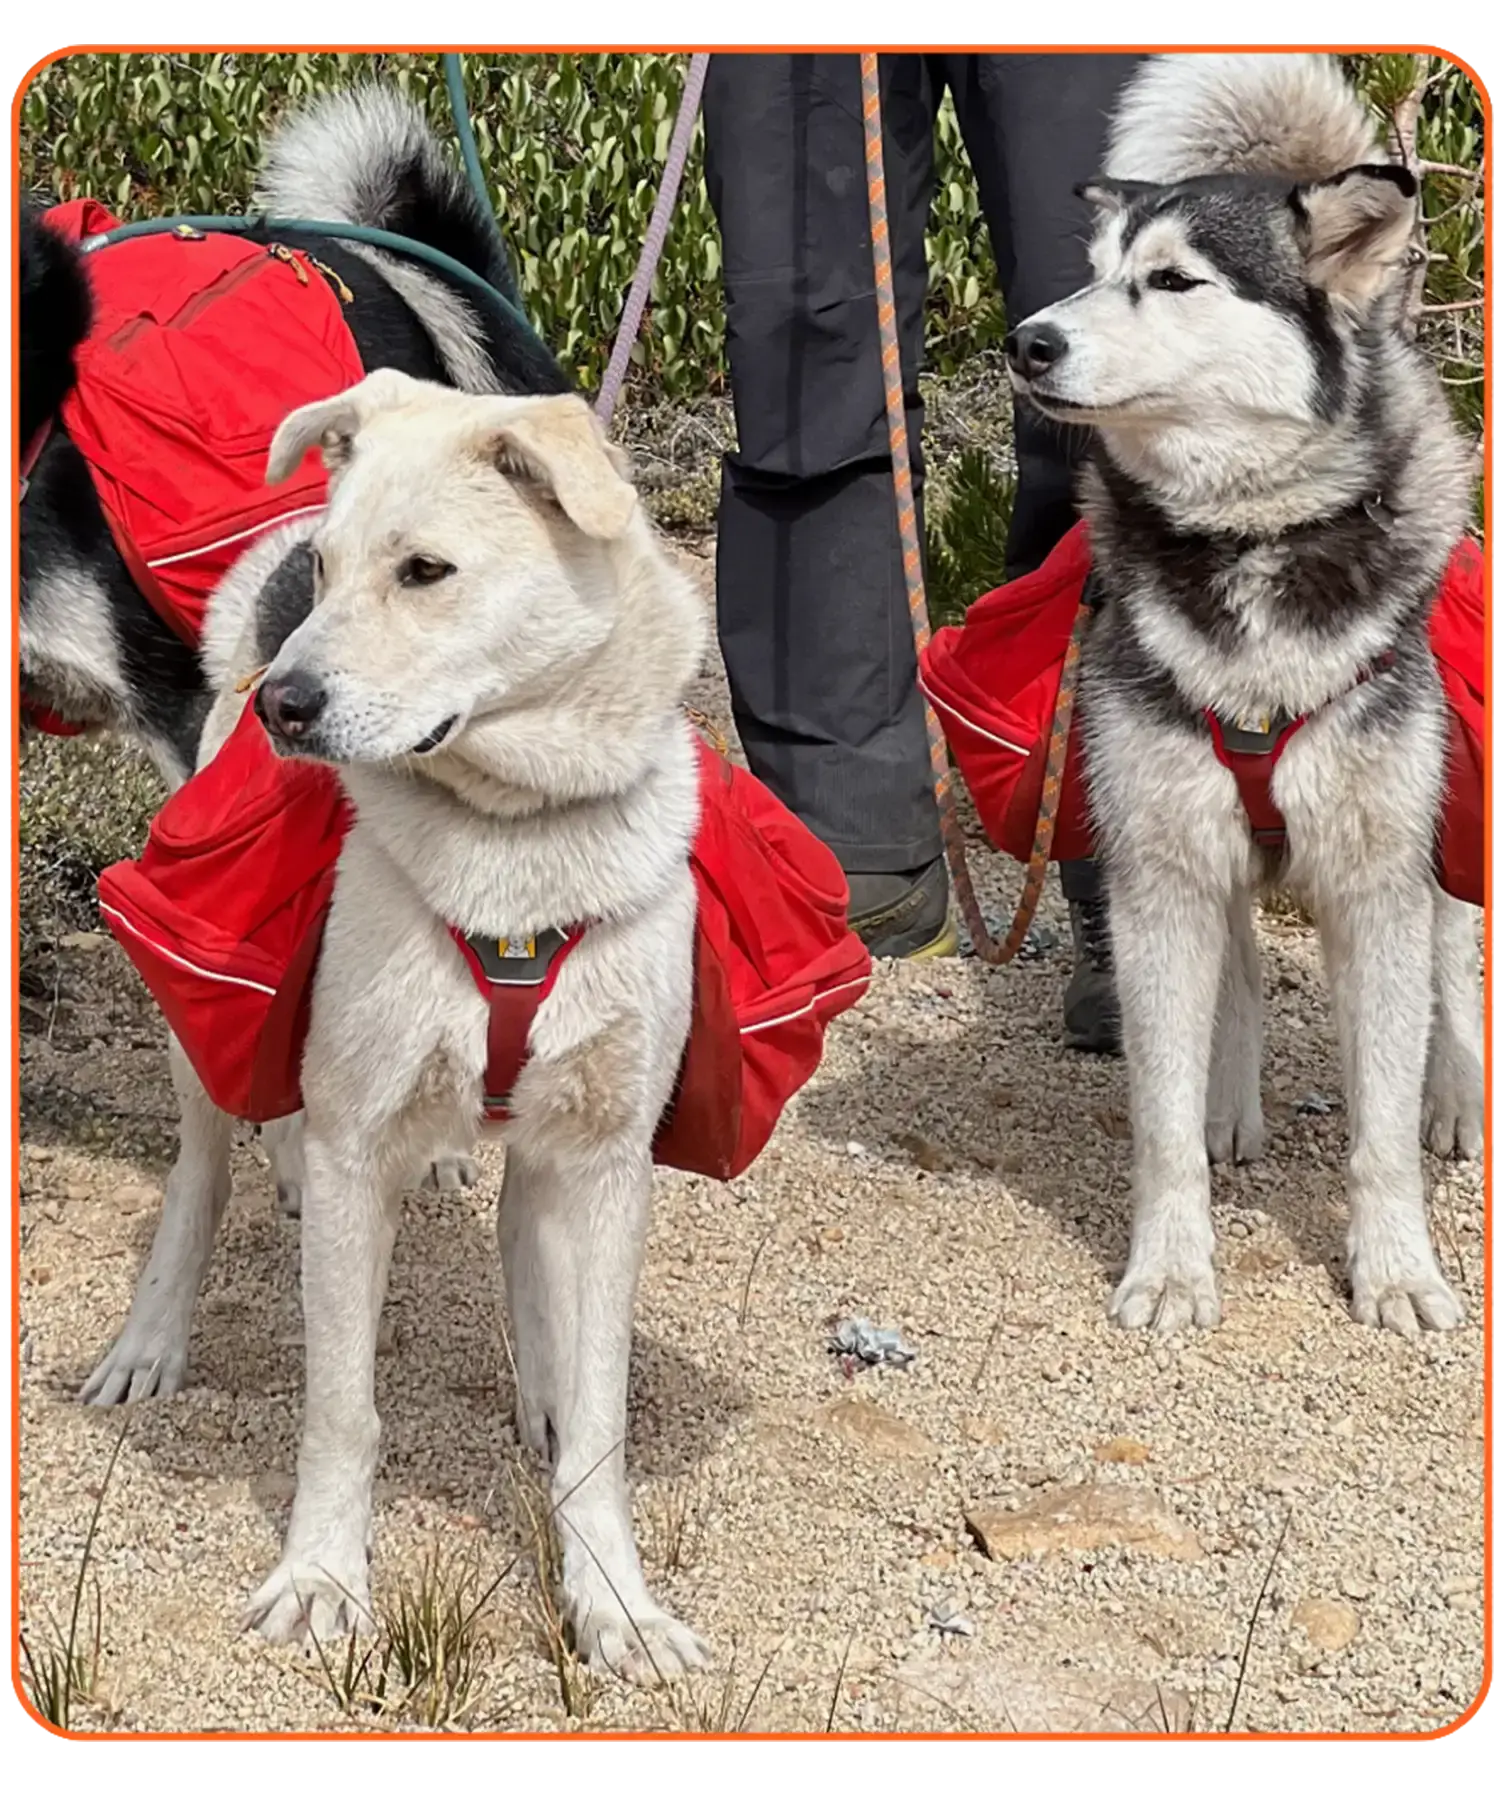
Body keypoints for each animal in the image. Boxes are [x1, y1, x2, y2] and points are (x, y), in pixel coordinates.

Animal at [1001, 52, 1483, 1339]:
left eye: (1172, 280)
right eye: (1094, 269)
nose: (1026, 342)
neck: (1252, 546)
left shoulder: (1377, 876)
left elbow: (1380, 1124)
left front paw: (1398, 1269)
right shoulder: (1161, 871)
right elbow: (1161, 1120)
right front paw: (1171, 1265)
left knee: (1455, 979)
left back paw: (1458, 1103)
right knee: (1243, 984)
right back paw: (1231, 1104)